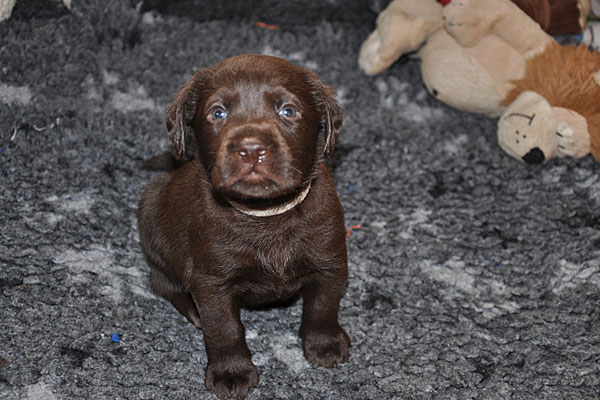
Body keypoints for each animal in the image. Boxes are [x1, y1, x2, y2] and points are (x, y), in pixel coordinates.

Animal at [137, 54, 350, 399]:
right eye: (218, 113)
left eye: (288, 111)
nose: (251, 149)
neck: (266, 214)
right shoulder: (212, 281)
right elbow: (224, 328)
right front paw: (231, 372)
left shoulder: (330, 260)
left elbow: (323, 305)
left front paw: (324, 343)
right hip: (152, 221)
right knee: (162, 282)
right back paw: (192, 310)